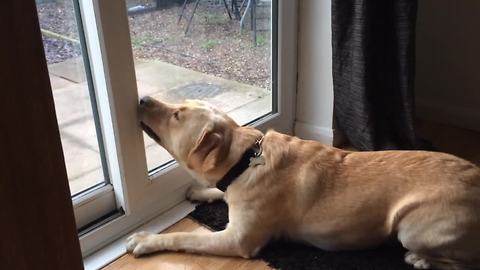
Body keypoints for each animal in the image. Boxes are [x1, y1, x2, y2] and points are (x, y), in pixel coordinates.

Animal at [128, 96, 480, 268]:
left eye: (177, 115)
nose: (142, 98)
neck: (244, 160)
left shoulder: (238, 240)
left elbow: (185, 237)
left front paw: (147, 239)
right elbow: (218, 192)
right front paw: (203, 190)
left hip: (412, 228)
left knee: (466, 262)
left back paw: (420, 259)